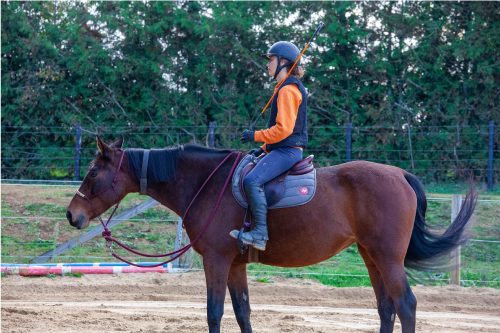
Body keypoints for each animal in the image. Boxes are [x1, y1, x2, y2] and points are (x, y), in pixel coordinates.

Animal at [65, 136, 476, 332]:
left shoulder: (216, 260)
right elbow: (243, 312)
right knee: (387, 309)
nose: (72, 215)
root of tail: (400, 175)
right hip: (371, 257)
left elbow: (215, 313)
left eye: (92, 173)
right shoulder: (234, 265)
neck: (206, 182)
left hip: (388, 258)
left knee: (406, 306)